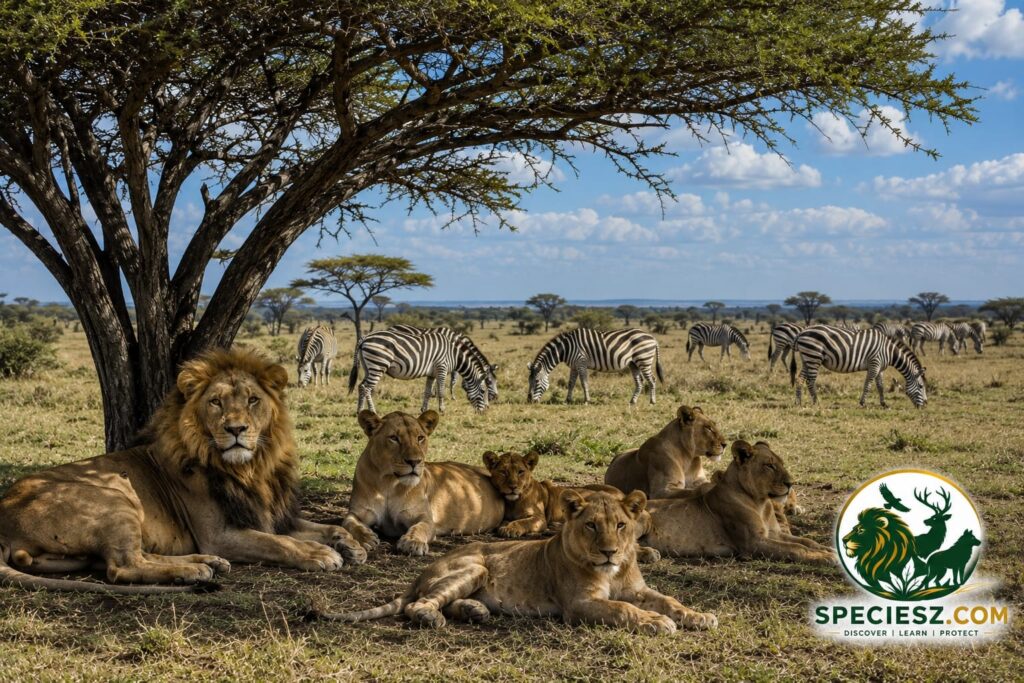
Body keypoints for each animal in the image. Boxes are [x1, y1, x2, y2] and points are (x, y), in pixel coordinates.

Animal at [0, 348, 366, 594]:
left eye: (252, 400)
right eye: (216, 402)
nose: (236, 429)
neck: (250, 469)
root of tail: (3, 521)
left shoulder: (273, 516)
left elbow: (325, 527)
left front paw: (352, 545)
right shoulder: (220, 534)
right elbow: (278, 543)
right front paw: (319, 554)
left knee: (131, 557)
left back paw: (205, 563)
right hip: (113, 495)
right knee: (123, 567)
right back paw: (194, 571)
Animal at [319, 489, 717, 634]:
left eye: (621, 525)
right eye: (591, 525)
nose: (609, 552)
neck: (613, 571)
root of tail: (422, 572)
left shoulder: (638, 589)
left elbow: (669, 600)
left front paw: (699, 616)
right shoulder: (579, 604)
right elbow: (624, 610)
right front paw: (657, 622)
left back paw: (476, 611)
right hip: (476, 564)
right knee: (418, 605)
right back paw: (434, 616)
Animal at [342, 410, 505, 556]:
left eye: (420, 438)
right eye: (394, 438)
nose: (414, 461)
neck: (389, 483)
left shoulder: (424, 517)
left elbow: (420, 528)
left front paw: (413, 542)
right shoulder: (357, 513)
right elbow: (349, 523)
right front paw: (366, 538)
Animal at [638, 441, 834, 564]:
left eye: (781, 463)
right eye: (769, 465)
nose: (790, 483)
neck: (761, 503)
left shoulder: (774, 534)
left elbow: (806, 541)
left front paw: (828, 550)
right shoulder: (753, 543)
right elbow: (796, 548)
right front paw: (825, 557)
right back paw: (649, 553)